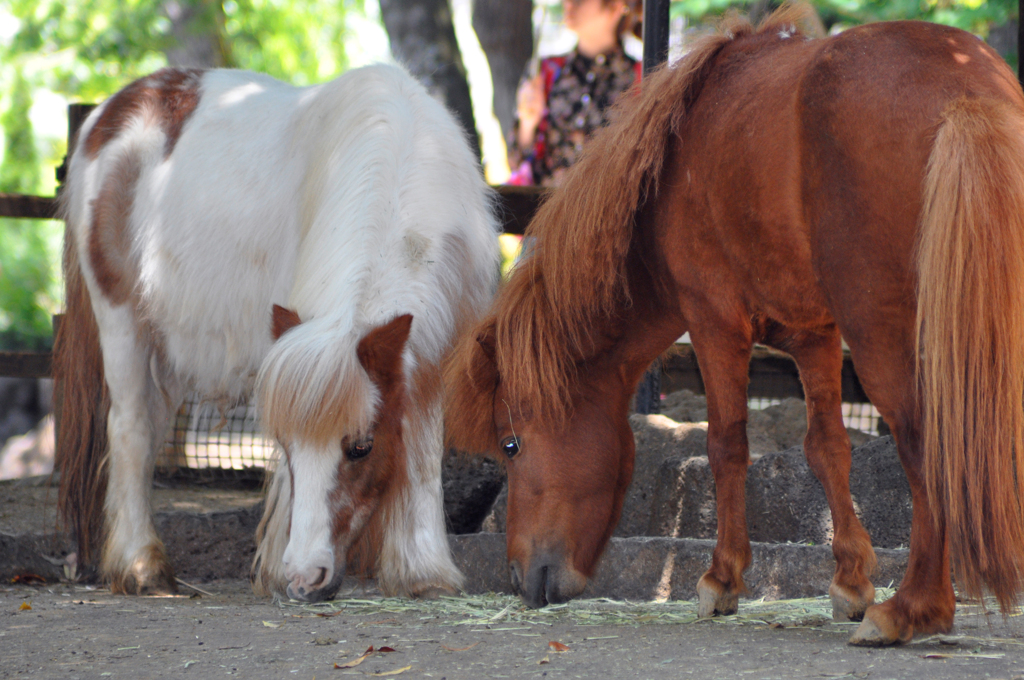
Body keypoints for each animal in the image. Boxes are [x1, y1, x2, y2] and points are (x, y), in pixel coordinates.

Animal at [55, 65, 499, 602]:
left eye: (362, 446)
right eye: (287, 447)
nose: (306, 577)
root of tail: (109, 113)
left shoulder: (434, 352)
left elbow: (422, 450)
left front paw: (423, 571)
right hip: (122, 323)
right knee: (131, 431)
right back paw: (141, 566)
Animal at [450, 3, 1024, 643]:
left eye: (511, 444)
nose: (521, 579)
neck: (667, 165)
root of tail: (966, 92)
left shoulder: (713, 323)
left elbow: (726, 445)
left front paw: (722, 580)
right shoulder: (814, 335)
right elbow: (827, 448)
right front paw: (851, 581)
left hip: (885, 337)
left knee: (925, 443)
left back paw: (914, 607)